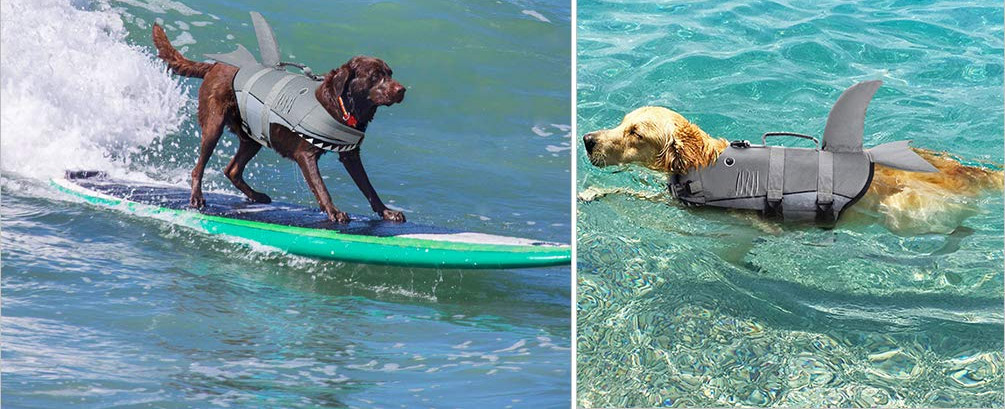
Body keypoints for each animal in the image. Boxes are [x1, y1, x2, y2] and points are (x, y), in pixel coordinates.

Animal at [150, 24, 402, 224]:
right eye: (374, 76)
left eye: (389, 73)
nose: (402, 90)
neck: (340, 105)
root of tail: (214, 65)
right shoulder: (305, 155)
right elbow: (321, 187)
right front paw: (334, 211)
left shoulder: (351, 155)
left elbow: (368, 187)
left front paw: (387, 212)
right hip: (214, 125)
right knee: (199, 167)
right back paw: (197, 198)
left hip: (253, 136)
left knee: (232, 169)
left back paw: (256, 196)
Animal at [586, 106, 1000, 234]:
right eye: (621, 123)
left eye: (636, 133)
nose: (588, 139)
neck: (700, 162)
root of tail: (963, 170)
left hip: (906, 212)